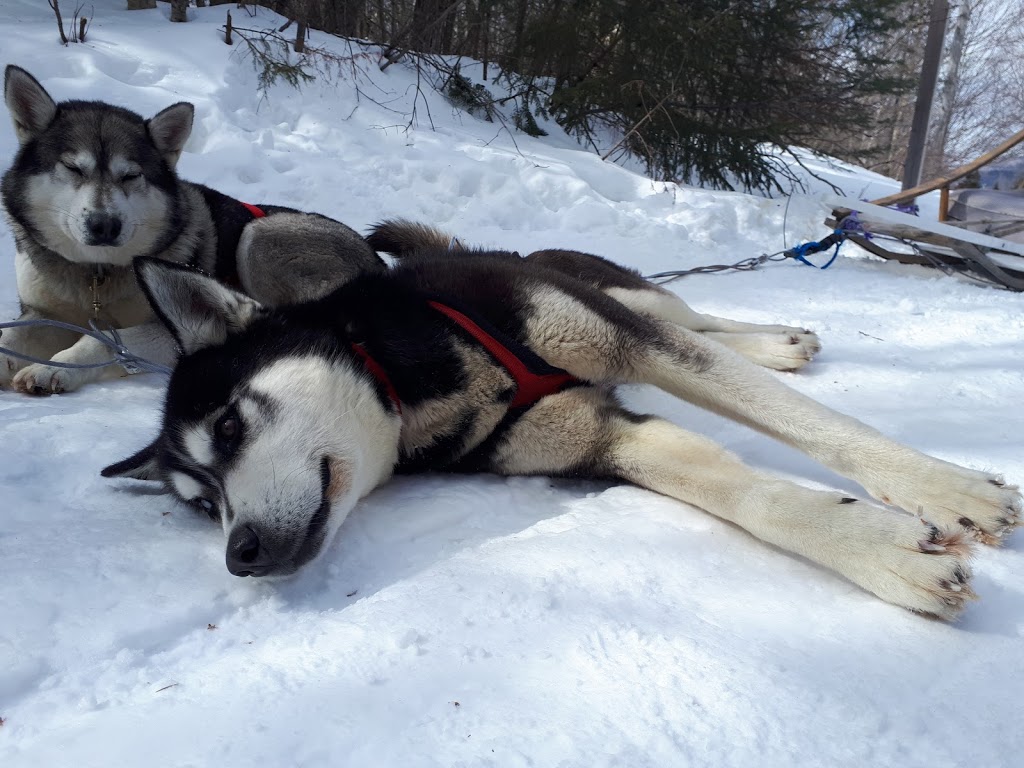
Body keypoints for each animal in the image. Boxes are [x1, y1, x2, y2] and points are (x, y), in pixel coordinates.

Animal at [0, 66, 385, 397]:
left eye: (131, 175)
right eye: (72, 168)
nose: (104, 224)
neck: (96, 276)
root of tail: (377, 262)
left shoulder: (172, 330)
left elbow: (103, 340)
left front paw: (53, 368)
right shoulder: (44, 314)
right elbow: (13, 338)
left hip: (259, 237)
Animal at [105, 219, 1024, 622]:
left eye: (229, 429)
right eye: (202, 505)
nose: (240, 554)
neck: (415, 378)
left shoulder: (616, 339)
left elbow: (809, 425)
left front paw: (944, 487)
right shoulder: (604, 437)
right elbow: (751, 498)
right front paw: (876, 548)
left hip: (620, 297)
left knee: (697, 320)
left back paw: (777, 341)